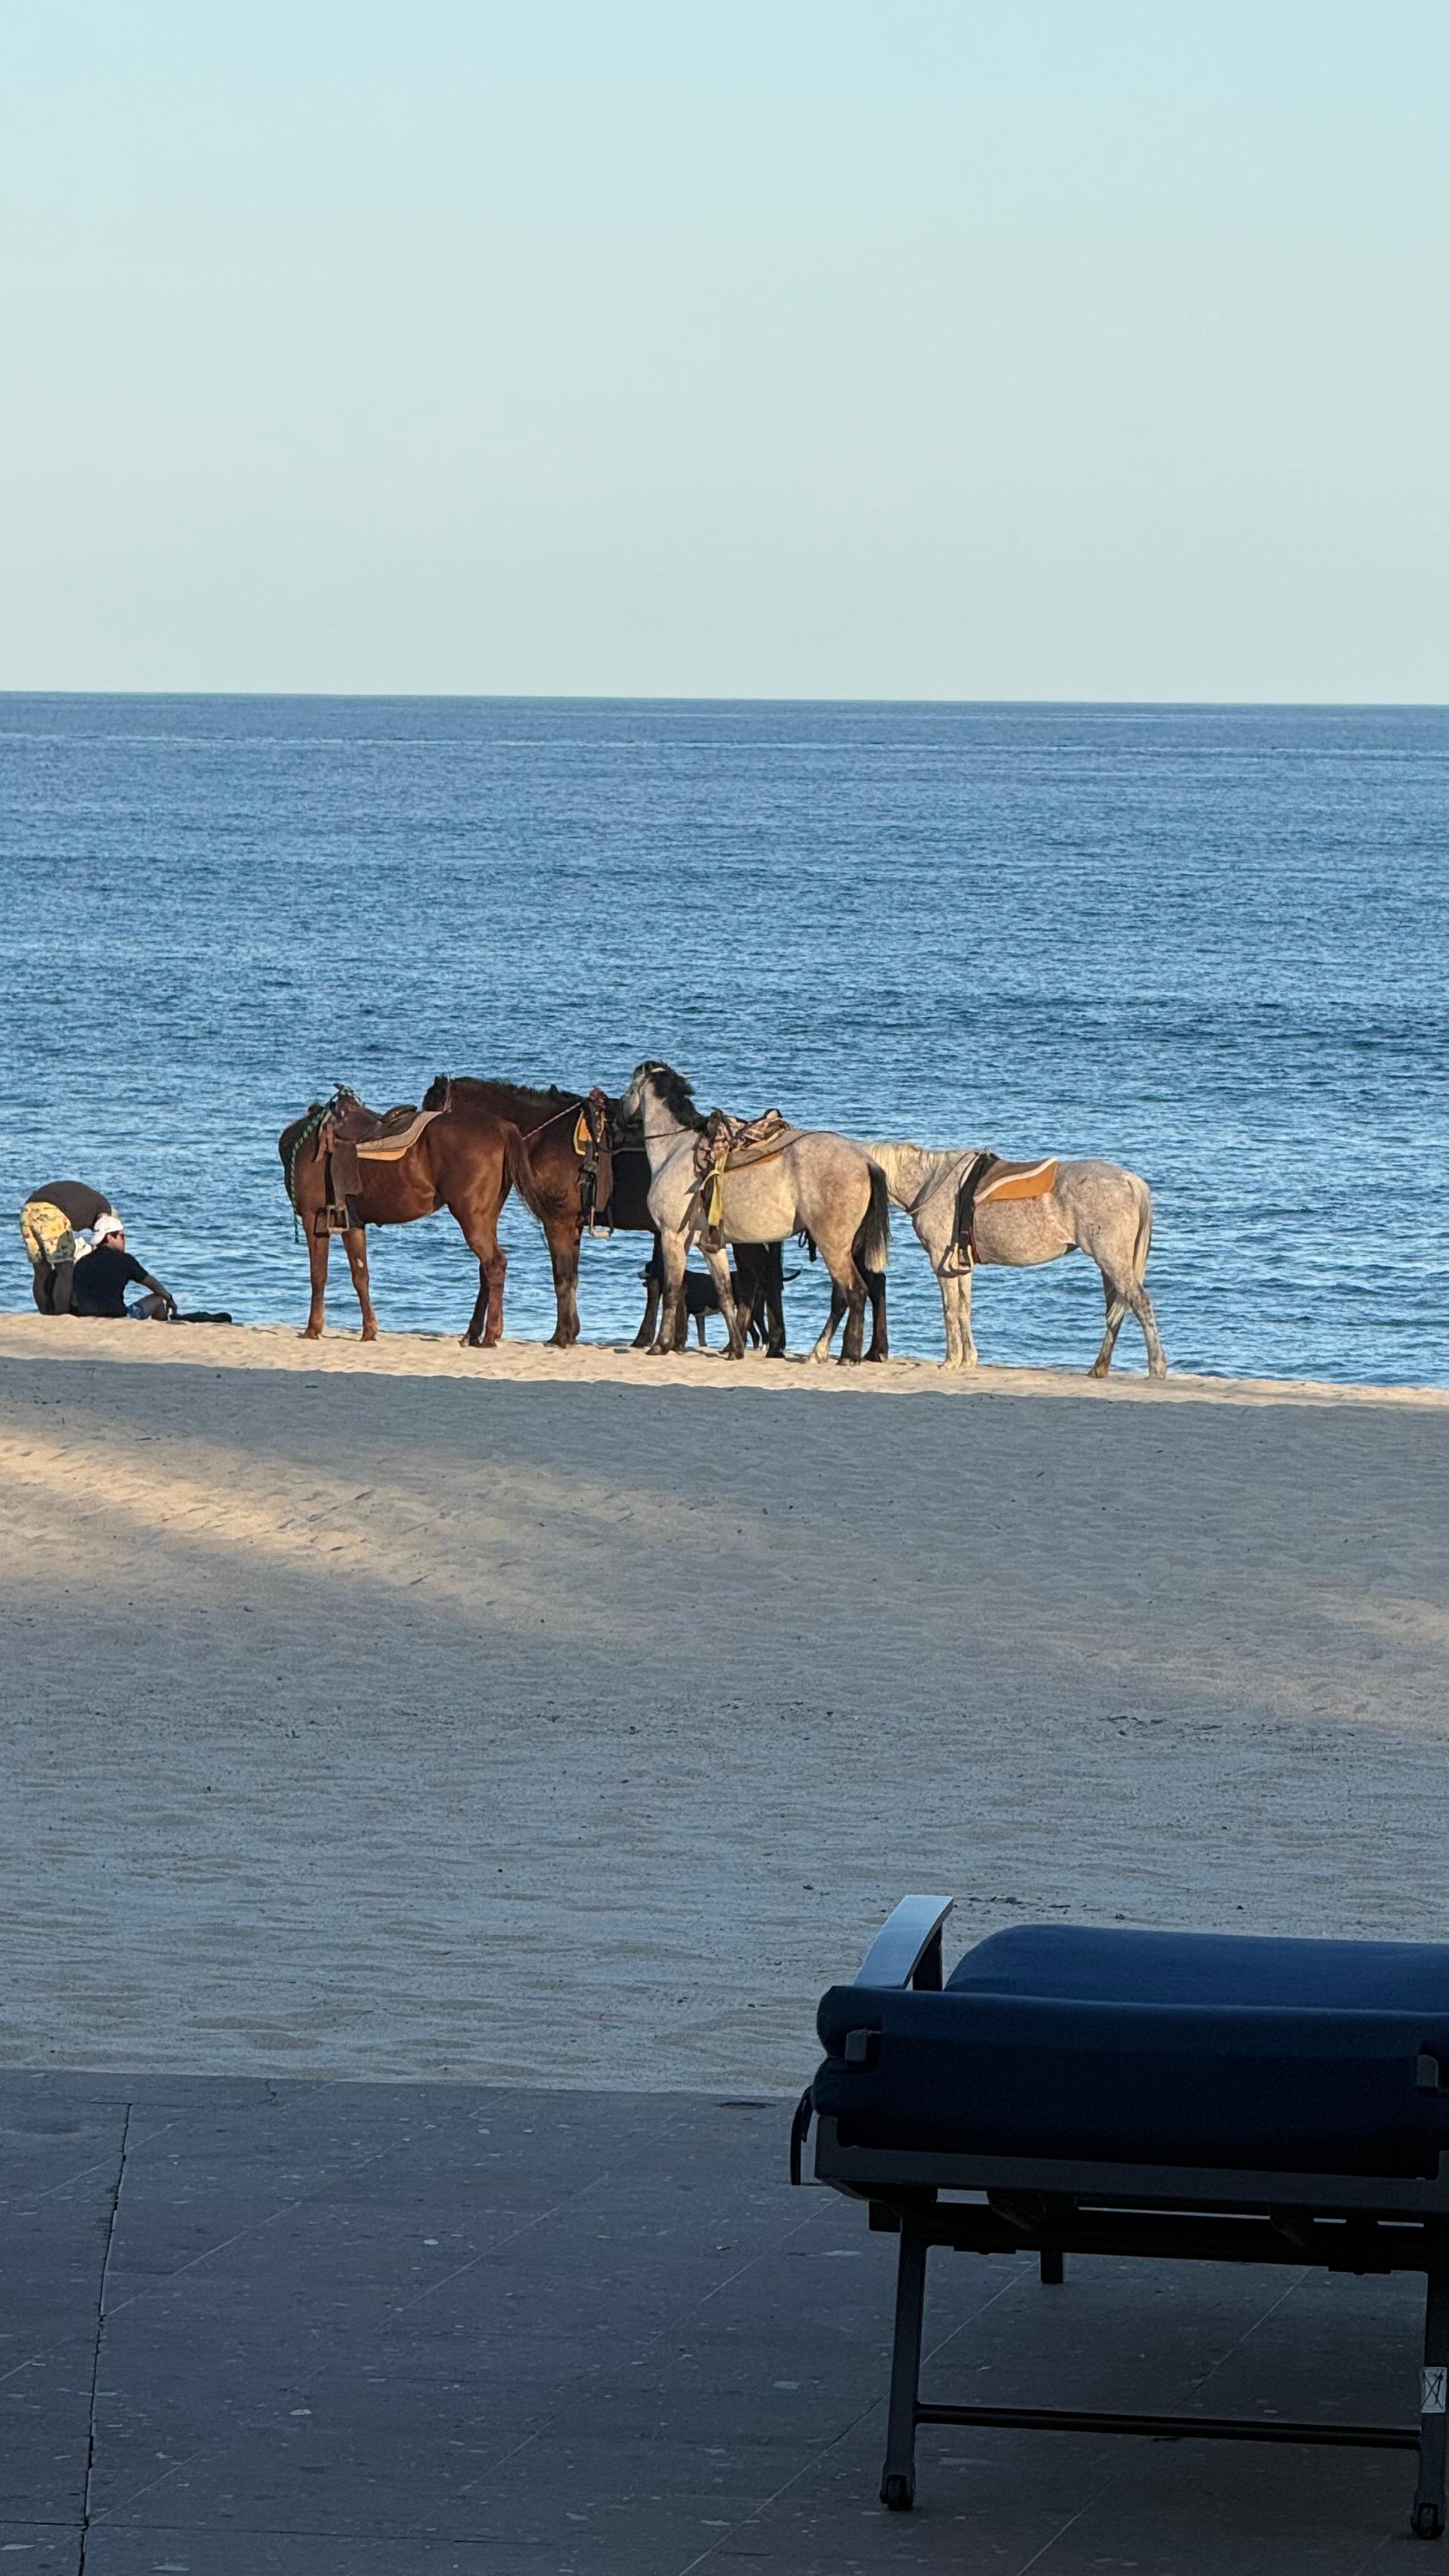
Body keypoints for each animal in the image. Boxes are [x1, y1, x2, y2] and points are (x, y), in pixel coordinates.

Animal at [278, 1078, 603, 1347]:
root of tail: (503, 1128)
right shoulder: (353, 1224)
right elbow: (361, 1276)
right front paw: (369, 1330)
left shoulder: (315, 1220)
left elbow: (318, 1275)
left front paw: (313, 1328)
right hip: (486, 1218)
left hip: (471, 1218)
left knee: (495, 1264)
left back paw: (491, 1335)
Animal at [616, 1062, 890, 1362]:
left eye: (629, 1088)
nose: (619, 1117)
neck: (675, 1151)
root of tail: (865, 1161)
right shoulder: (711, 1246)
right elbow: (725, 1294)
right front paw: (735, 1348)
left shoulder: (672, 1237)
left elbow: (672, 1290)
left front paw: (661, 1344)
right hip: (847, 1247)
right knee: (847, 1295)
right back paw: (823, 1352)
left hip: (834, 1246)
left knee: (855, 1292)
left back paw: (848, 1354)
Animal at [855, 1139, 1166, 1378]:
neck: (931, 1182)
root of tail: (1128, 1180)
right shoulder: (961, 1267)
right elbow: (964, 1309)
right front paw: (968, 1359)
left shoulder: (942, 1265)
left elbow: (950, 1310)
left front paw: (951, 1360)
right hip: (1110, 1265)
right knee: (1117, 1310)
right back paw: (1099, 1368)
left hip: (1111, 1260)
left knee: (1140, 1304)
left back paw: (1157, 1368)